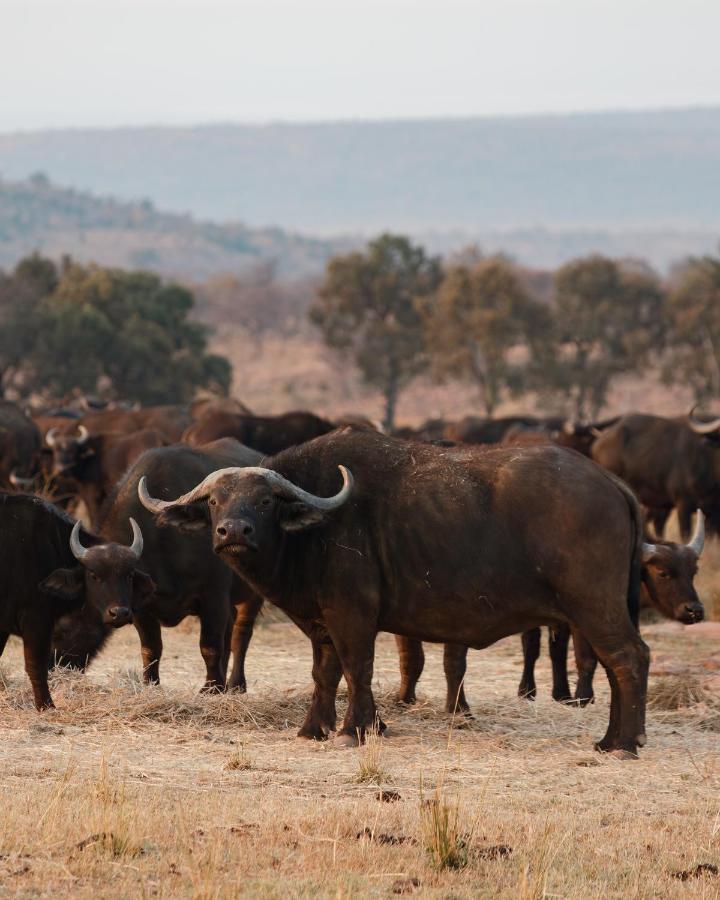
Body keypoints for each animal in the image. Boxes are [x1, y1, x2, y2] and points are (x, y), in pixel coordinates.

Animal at [0, 492, 153, 712]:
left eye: (129, 575)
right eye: (94, 575)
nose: (119, 613)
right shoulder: (36, 620)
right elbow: (36, 665)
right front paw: (46, 706)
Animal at [138, 428, 648, 760]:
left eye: (264, 501)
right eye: (213, 501)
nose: (233, 532)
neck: (316, 528)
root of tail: (612, 484)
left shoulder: (352, 615)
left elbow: (357, 669)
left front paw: (355, 729)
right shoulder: (321, 622)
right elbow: (325, 673)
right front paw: (314, 728)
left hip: (594, 605)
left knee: (629, 657)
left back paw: (625, 744)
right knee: (616, 663)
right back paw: (610, 739)